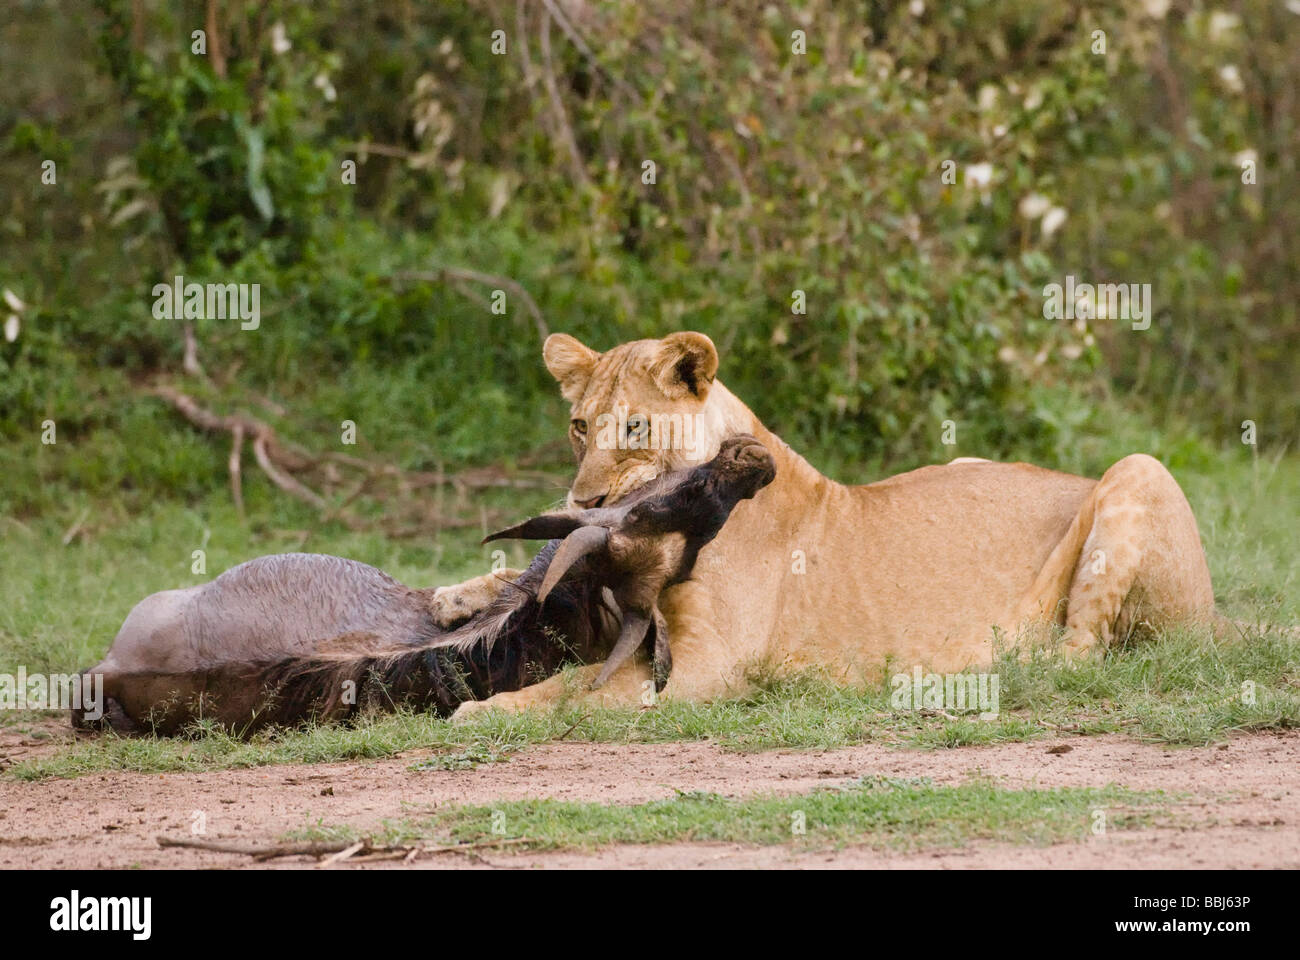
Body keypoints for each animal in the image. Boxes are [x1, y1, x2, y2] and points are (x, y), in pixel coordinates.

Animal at [451, 330, 1224, 718]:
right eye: (579, 427)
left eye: (636, 427)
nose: (584, 503)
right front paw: (462, 604)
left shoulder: (707, 670)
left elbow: (583, 700)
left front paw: (485, 711)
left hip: (1139, 468)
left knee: (1080, 653)